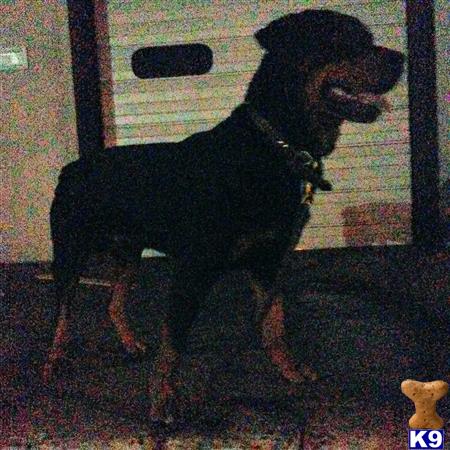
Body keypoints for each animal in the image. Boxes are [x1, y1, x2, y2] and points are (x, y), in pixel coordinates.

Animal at [44, 9, 404, 418]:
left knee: (113, 302)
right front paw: (162, 398)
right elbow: (174, 339)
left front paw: (289, 368)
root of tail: (72, 167)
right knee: (62, 313)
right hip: (70, 252)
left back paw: (130, 343)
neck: (277, 145)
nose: (401, 59)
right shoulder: (194, 268)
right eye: (342, 39)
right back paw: (55, 360)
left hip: (129, 254)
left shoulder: (268, 261)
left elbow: (275, 321)